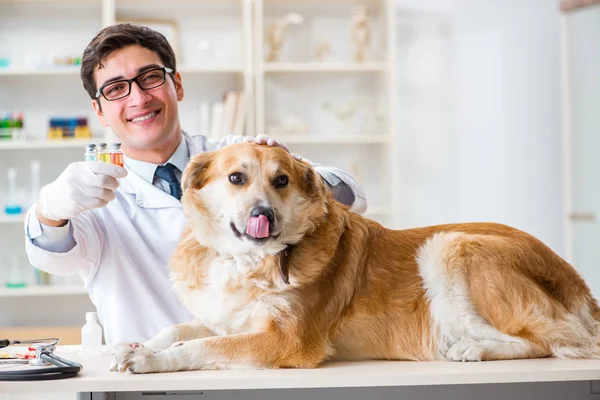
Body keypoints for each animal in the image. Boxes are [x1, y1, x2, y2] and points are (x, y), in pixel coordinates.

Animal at [111, 142, 600, 374]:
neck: (247, 259)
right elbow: (178, 328)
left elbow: (199, 345)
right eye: (236, 178)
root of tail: (572, 275)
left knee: (552, 341)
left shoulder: (285, 341)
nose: (263, 215)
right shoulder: (230, 319)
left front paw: (152, 360)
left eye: (281, 180)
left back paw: (472, 348)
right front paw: (135, 345)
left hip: (449, 246)